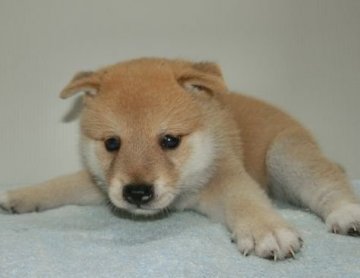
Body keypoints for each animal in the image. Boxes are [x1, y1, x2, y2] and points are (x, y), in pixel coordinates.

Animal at [0, 58, 360, 260]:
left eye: (169, 140)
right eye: (112, 143)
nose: (137, 192)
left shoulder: (226, 175)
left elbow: (246, 200)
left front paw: (265, 230)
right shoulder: (101, 184)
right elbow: (59, 184)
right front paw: (18, 196)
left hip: (285, 155)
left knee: (328, 183)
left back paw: (347, 214)